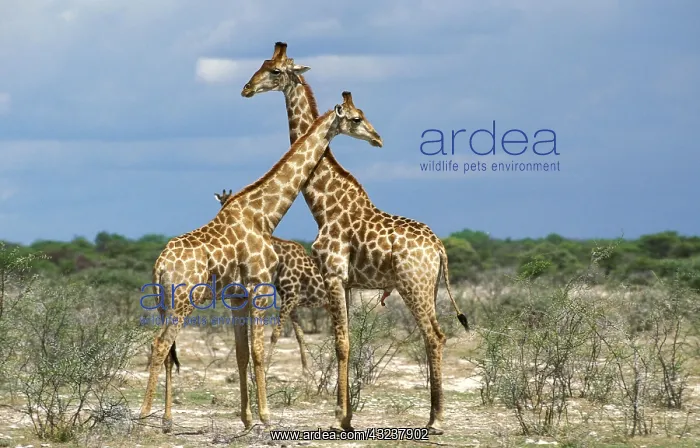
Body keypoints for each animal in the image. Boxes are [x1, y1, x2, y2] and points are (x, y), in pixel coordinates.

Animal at [213, 188, 329, 371]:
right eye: (220, 204)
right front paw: (306, 370)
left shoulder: (291, 296)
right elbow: (299, 334)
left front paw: (266, 368)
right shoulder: (291, 299)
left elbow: (275, 333)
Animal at [241, 42, 469, 435]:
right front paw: (345, 415)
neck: (324, 203)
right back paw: (432, 416)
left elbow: (342, 344)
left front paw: (339, 417)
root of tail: (439, 248)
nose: (247, 88)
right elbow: (345, 341)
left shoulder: (333, 274)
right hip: (430, 287)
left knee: (434, 336)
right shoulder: (345, 282)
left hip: (413, 285)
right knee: (436, 335)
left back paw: (437, 420)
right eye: (262, 65)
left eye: (275, 71)